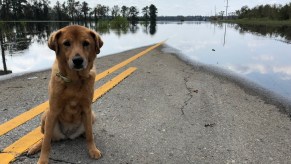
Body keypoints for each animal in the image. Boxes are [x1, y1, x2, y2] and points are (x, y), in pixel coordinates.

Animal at [27, 24, 104, 164]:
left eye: (86, 43)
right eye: (66, 43)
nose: (78, 60)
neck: (74, 80)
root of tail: (68, 135)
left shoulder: (87, 109)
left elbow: (90, 135)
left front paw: (92, 149)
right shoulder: (53, 111)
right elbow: (46, 142)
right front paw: (43, 159)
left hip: (92, 116)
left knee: (87, 131)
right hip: (45, 115)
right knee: (47, 137)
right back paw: (35, 147)